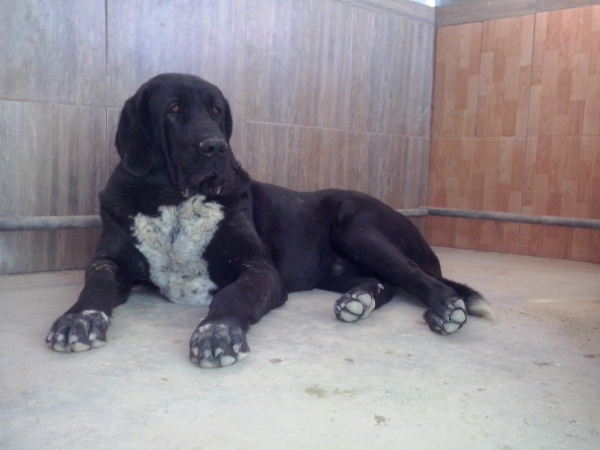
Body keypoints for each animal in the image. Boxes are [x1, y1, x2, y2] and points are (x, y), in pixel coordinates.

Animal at [45, 74, 488, 368]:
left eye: (216, 110)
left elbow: (232, 296)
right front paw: (78, 319)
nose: (216, 147)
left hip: (358, 229)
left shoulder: (258, 269)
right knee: (387, 283)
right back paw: (358, 300)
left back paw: (444, 310)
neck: (175, 200)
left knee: (418, 277)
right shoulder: (109, 260)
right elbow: (97, 285)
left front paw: (217, 331)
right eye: (174, 110)